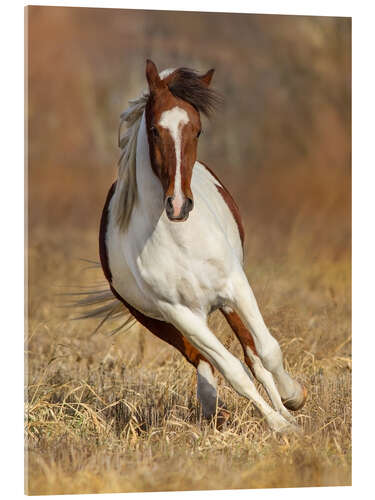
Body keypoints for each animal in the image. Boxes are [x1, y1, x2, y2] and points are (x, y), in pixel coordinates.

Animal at [92, 59, 308, 434]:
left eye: (197, 130)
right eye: (154, 130)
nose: (178, 205)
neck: (180, 240)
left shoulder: (236, 285)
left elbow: (268, 351)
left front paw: (293, 400)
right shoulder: (179, 313)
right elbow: (233, 371)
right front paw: (280, 426)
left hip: (226, 302)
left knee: (253, 356)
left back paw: (283, 405)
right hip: (161, 321)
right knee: (207, 360)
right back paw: (214, 405)